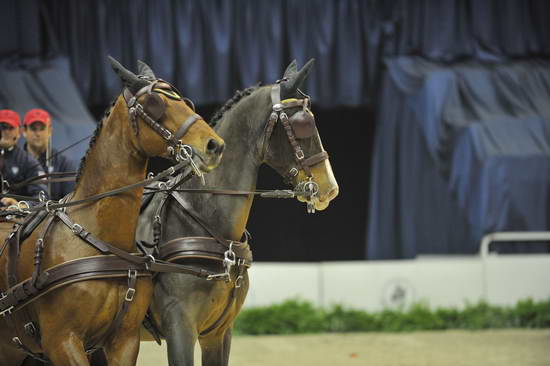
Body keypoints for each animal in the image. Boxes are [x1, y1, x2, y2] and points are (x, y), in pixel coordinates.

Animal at [0, 58, 225, 366]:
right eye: (155, 103)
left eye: (186, 101)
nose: (214, 145)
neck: (101, 242)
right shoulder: (62, 341)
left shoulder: (124, 340)